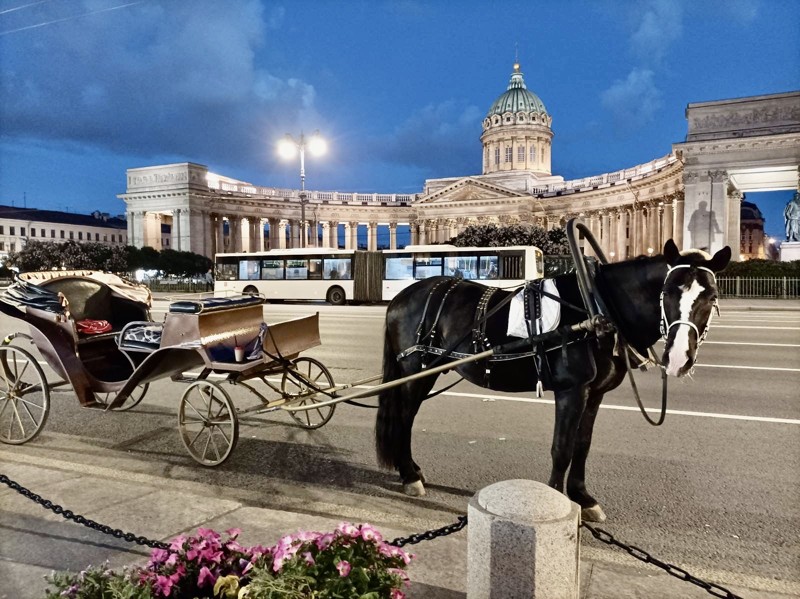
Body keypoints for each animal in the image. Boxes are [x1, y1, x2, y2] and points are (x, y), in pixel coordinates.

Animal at [376, 239, 732, 520]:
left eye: (712, 297)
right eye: (668, 292)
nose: (679, 358)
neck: (598, 309)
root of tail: (403, 296)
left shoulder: (595, 393)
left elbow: (582, 444)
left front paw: (583, 497)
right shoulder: (571, 390)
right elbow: (562, 447)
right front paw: (558, 500)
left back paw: (412, 470)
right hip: (416, 371)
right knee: (404, 418)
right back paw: (409, 476)